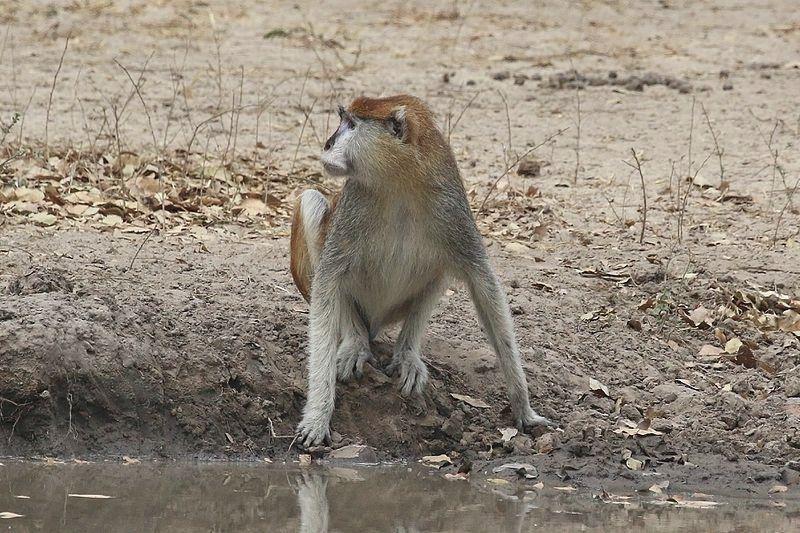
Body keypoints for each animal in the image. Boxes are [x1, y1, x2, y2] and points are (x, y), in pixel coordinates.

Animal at [290, 95, 552, 444]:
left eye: (352, 125)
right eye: (343, 121)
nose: (328, 143)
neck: (401, 179)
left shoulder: (451, 206)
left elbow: (483, 283)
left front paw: (524, 407)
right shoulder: (354, 204)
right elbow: (329, 280)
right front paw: (318, 415)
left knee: (440, 267)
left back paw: (406, 353)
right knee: (311, 202)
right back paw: (356, 341)